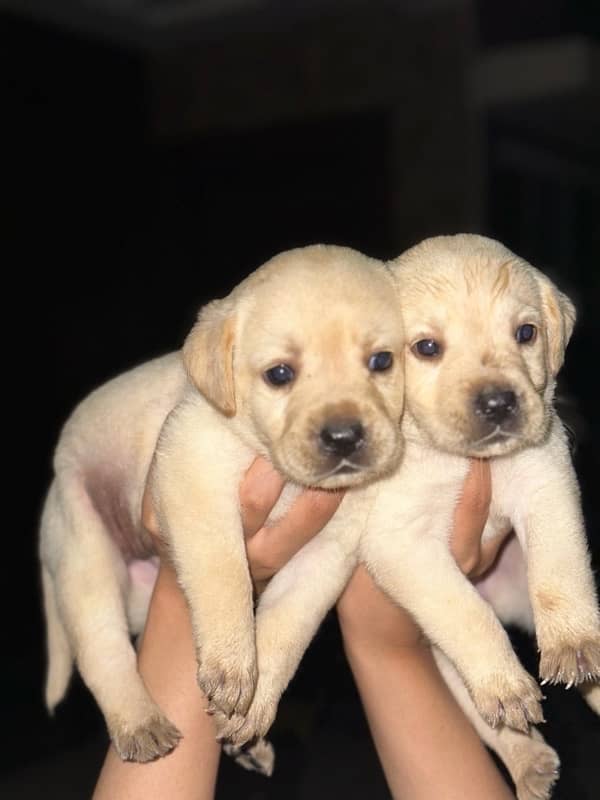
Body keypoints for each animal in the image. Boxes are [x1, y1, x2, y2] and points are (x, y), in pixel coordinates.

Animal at [39, 244, 406, 764]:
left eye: (381, 361)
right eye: (279, 374)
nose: (343, 437)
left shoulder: (326, 554)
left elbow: (285, 629)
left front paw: (254, 703)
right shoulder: (192, 475)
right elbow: (224, 575)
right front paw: (232, 665)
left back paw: (248, 749)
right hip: (85, 557)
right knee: (104, 654)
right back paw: (139, 722)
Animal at [218, 234, 596, 800]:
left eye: (526, 333)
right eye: (427, 348)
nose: (498, 402)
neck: (455, 458)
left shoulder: (544, 480)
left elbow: (559, 572)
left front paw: (573, 642)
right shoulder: (401, 543)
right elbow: (467, 614)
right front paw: (506, 680)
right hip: (439, 651)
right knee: (483, 704)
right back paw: (525, 751)